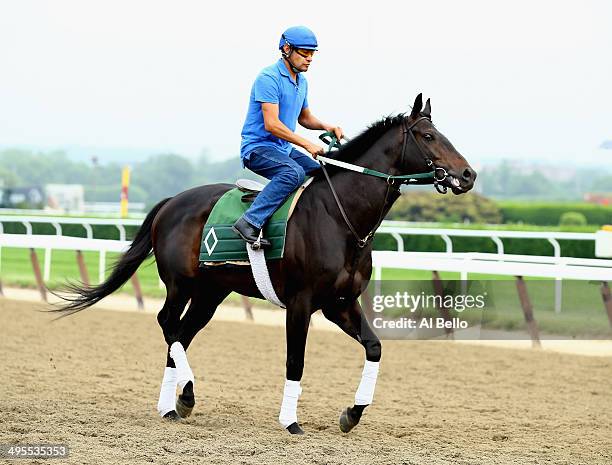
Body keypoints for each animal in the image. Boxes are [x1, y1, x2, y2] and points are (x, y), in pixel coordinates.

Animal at [55, 94, 476, 436]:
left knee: (181, 334)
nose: (468, 175)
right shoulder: (301, 304)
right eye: (428, 136)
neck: (341, 217)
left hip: (210, 293)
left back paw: (171, 406)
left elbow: (374, 348)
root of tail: (172, 202)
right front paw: (290, 421)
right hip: (180, 284)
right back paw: (184, 397)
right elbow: (295, 360)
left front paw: (351, 415)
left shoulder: (340, 304)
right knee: (167, 324)